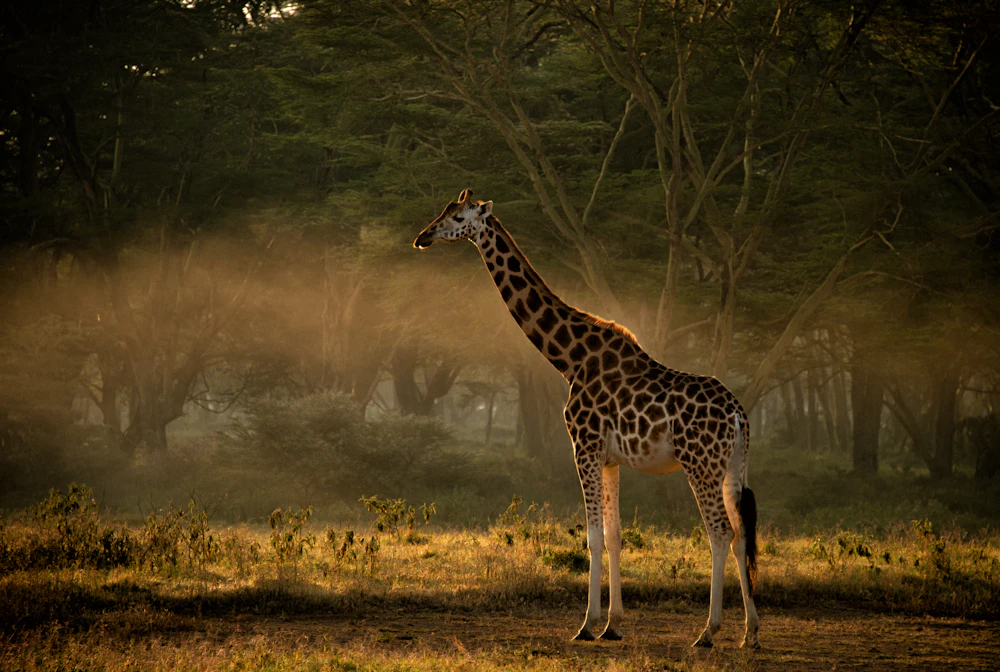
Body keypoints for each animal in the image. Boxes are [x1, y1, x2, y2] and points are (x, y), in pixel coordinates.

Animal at [413, 189, 760, 649]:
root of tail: (739, 416)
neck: (570, 359)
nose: (422, 237)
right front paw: (613, 624)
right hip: (732, 466)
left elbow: (593, 536)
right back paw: (751, 632)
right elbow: (614, 537)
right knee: (742, 534)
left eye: (456, 216)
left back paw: (708, 631)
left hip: (699, 465)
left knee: (720, 532)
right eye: (443, 211)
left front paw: (586, 625)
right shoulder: (610, 458)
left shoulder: (584, 447)